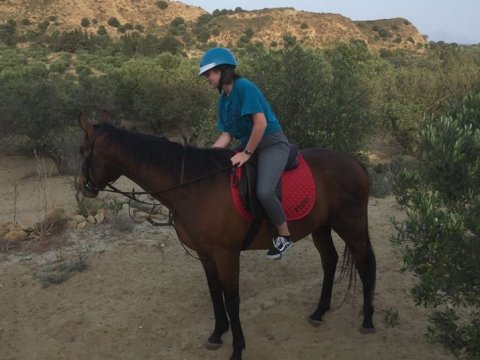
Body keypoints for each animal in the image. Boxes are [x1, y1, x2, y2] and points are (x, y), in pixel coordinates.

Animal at [77, 113, 376, 360]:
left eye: (82, 151)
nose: (82, 188)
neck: (193, 185)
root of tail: (354, 161)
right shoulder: (206, 254)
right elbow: (215, 293)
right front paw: (217, 334)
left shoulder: (226, 254)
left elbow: (232, 300)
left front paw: (237, 348)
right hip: (321, 226)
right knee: (330, 260)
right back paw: (319, 311)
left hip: (350, 225)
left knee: (365, 265)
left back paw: (368, 321)